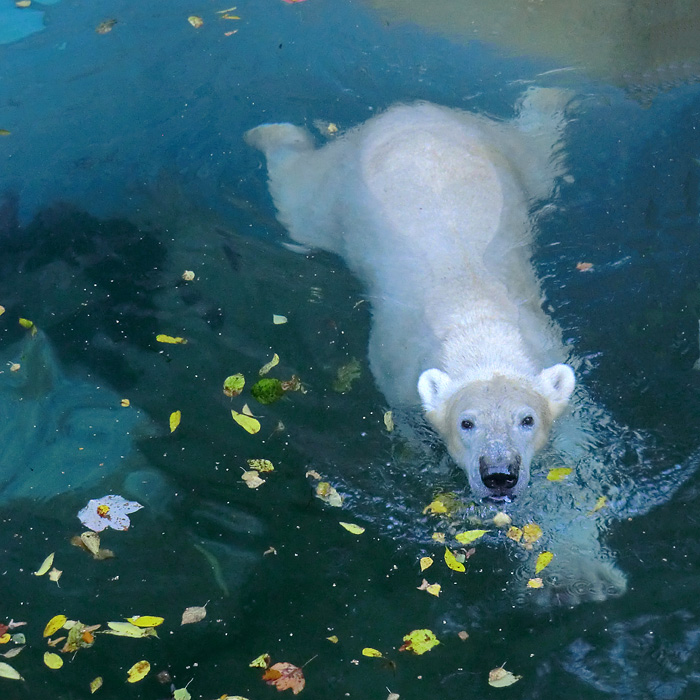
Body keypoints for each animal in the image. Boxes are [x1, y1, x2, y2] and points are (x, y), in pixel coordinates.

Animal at [243, 93, 692, 604]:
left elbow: (579, 460)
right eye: (467, 422)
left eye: (527, 419)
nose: (500, 473)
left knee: (541, 153)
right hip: (334, 190)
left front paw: (580, 576)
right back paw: (268, 132)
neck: (479, 334)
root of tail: (408, 112)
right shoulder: (400, 378)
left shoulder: (553, 359)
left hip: (504, 150)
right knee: (297, 197)